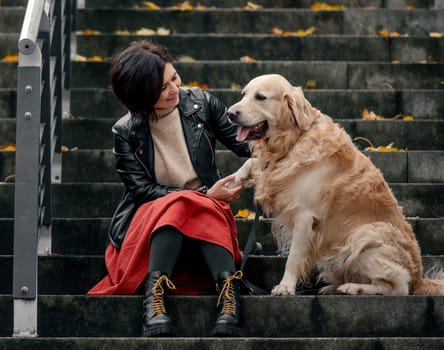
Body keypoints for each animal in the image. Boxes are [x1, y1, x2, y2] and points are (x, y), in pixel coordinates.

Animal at [229, 74, 444, 296]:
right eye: (244, 94)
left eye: (260, 97)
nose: (230, 113)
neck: (293, 140)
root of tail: (419, 279)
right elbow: (253, 162)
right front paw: (236, 178)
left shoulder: (305, 216)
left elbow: (293, 258)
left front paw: (285, 286)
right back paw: (333, 286)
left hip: (365, 235)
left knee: (397, 286)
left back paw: (353, 287)